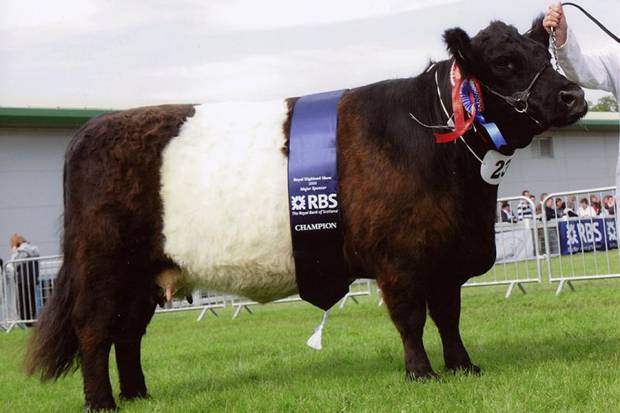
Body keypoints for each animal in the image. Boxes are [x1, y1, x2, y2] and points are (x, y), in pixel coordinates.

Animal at [24, 15, 588, 408]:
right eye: (505, 64)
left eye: (543, 52)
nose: (574, 95)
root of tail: (90, 130)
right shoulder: (400, 260)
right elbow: (410, 319)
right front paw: (421, 373)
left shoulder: (445, 257)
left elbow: (448, 317)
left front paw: (464, 368)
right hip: (105, 266)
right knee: (95, 330)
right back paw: (102, 403)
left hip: (143, 274)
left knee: (127, 333)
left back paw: (138, 394)